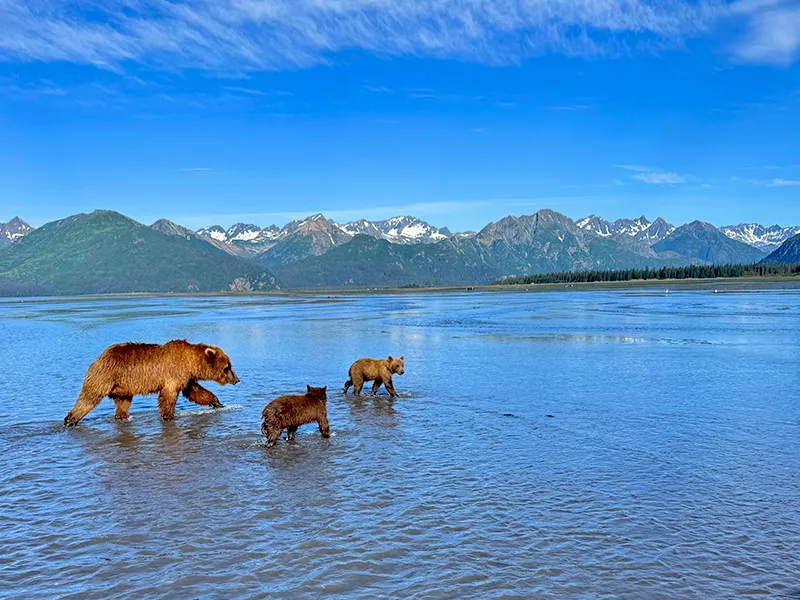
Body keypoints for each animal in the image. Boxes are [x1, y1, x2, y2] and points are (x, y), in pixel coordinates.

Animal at [63, 340, 239, 427]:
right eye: (227, 367)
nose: (237, 379)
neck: (191, 362)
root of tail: (99, 357)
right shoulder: (173, 374)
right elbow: (168, 397)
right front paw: (168, 416)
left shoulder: (187, 378)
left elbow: (196, 392)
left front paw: (217, 403)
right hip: (104, 376)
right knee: (89, 397)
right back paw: (70, 420)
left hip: (123, 387)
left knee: (123, 404)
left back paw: (122, 417)